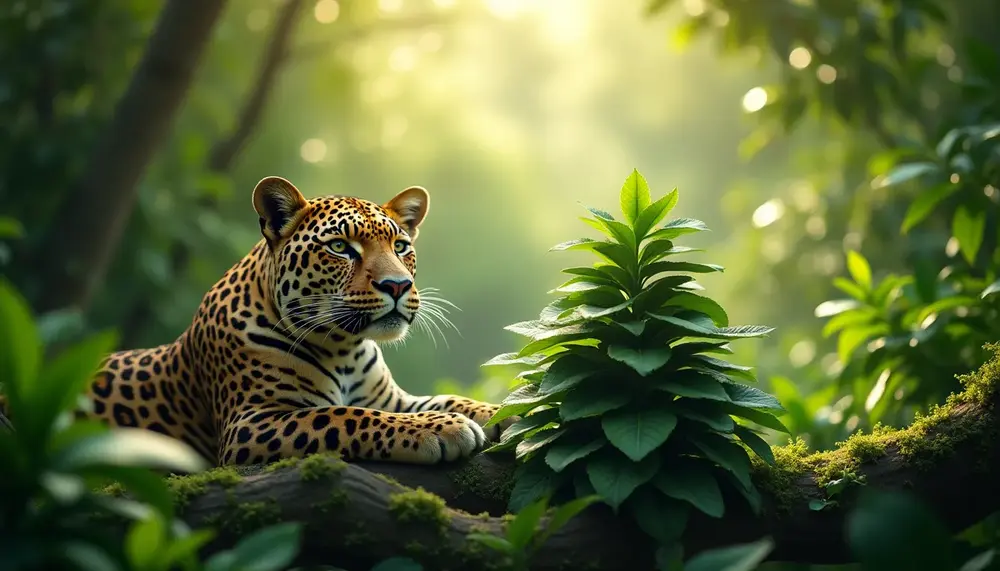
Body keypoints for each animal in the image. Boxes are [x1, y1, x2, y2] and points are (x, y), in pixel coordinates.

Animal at [2, 176, 517, 466]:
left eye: (402, 246)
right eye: (340, 248)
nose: (397, 285)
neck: (345, 347)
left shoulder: (393, 398)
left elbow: (445, 399)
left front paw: (502, 411)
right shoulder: (251, 422)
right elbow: (344, 415)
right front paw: (438, 429)